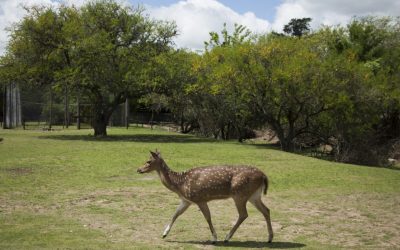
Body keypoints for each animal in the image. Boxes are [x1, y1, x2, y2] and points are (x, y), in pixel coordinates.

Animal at [136, 149, 274, 243]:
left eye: (148, 161)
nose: (138, 169)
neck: (180, 184)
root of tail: (264, 176)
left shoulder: (200, 199)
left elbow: (208, 217)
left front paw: (214, 238)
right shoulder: (186, 201)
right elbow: (175, 214)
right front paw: (164, 234)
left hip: (240, 194)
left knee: (244, 214)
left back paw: (227, 237)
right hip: (254, 195)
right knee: (266, 210)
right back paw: (269, 238)